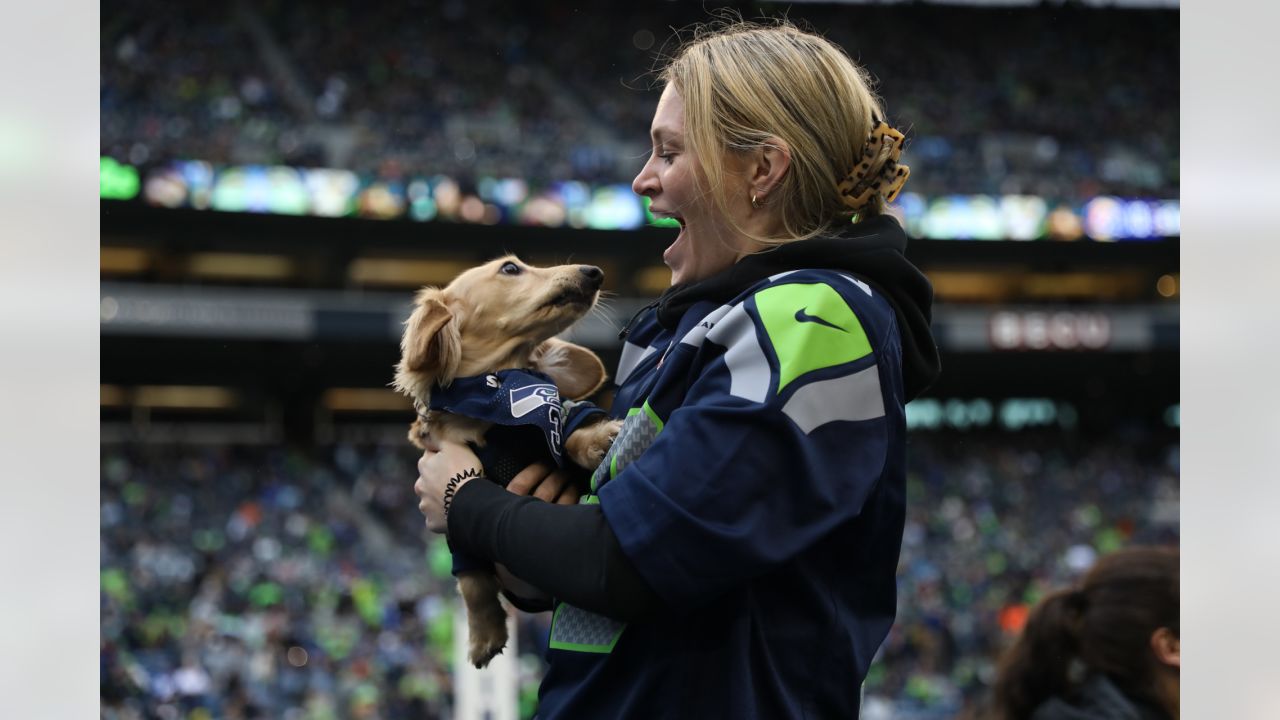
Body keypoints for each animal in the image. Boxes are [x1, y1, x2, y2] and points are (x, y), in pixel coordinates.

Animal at [396, 254, 622, 666]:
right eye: (511, 268)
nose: (594, 273)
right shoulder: (455, 533)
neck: (495, 396)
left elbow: (566, 428)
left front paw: (596, 438)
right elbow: (473, 582)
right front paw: (484, 634)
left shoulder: (557, 417)